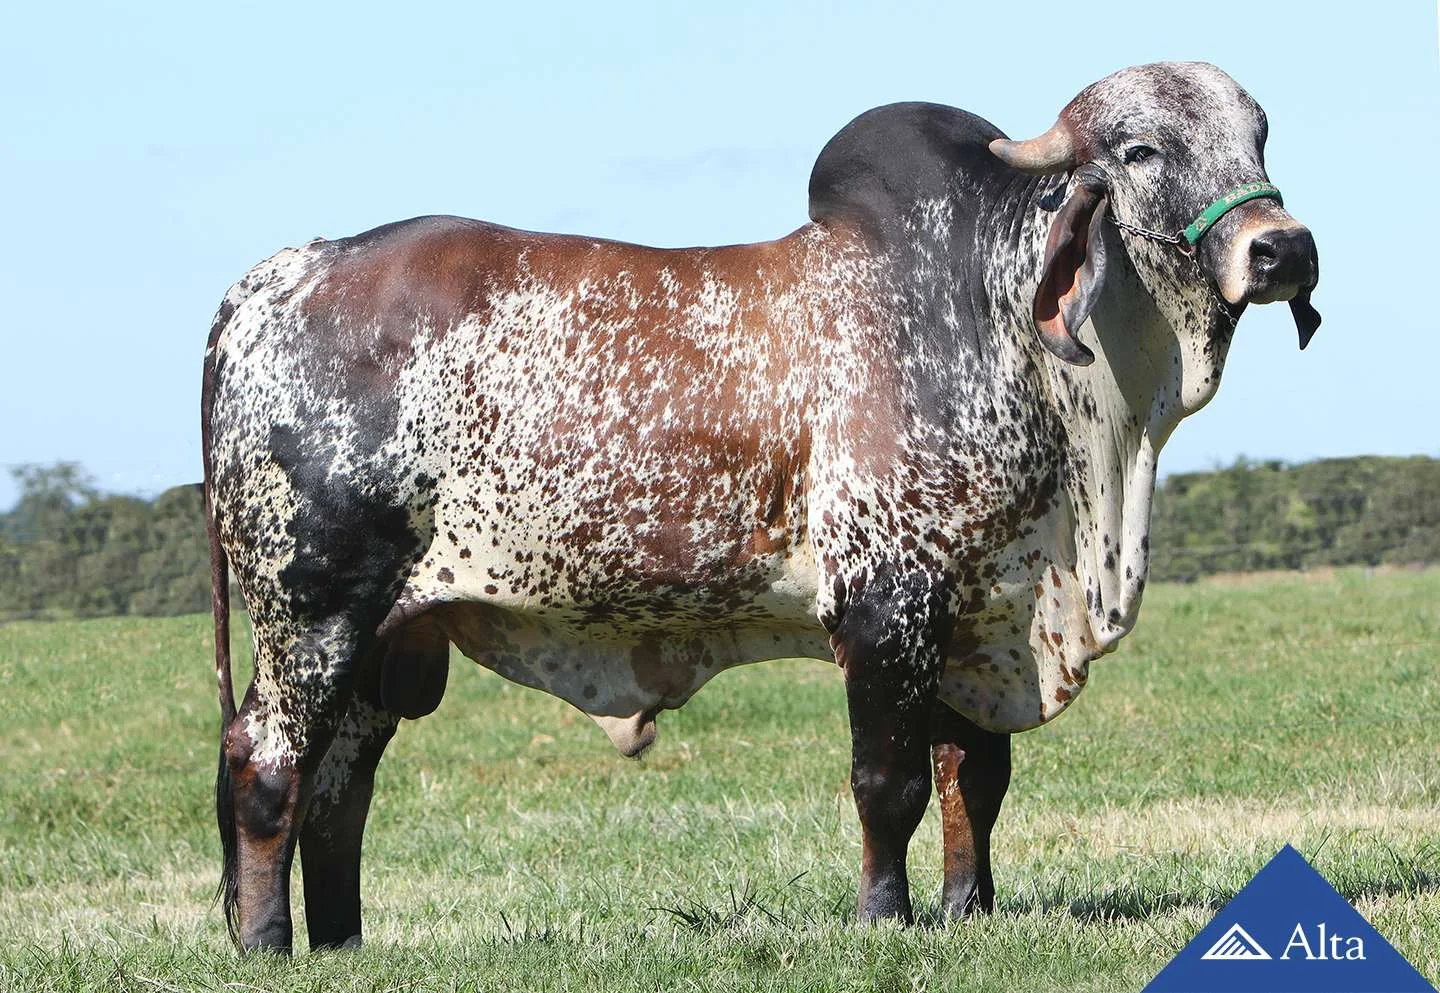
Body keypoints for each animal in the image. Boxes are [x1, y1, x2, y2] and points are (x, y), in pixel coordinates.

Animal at [203, 61, 1319, 952]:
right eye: (1139, 148)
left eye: (1259, 133)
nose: (1284, 248)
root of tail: (278, 278)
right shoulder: (889, 602)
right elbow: (890, 781)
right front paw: (885, 919)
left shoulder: (980, 612)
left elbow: (976, 779)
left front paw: (969, 913)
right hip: (313, 615)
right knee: (267, 766)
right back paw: (267, 945)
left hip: (386, 643)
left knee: (340, 790)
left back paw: (345, 944)